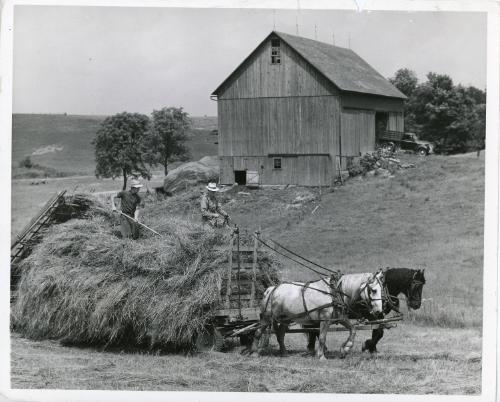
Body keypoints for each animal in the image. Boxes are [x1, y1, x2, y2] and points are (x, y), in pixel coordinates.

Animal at [249, 272, 382, 360]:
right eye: (373, 290)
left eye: (381, 289)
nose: (379, 311)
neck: (334, 292)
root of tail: (272, 289)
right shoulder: (325, 319)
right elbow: (322, 337)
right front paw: (321, 356)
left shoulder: (340, 318)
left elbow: (353, 329)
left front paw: (345, 349)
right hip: (267, 317)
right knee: (258, 332)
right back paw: (254, 352)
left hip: (285, 318)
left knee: (280, 333)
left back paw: (284, 352)